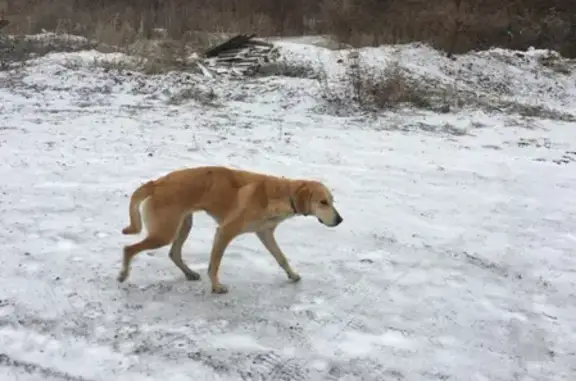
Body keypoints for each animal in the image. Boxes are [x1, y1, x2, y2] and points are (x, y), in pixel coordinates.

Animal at [117, 165, 342, 292]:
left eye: (332, 201)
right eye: (323, 202)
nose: (340, 220)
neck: (279, 194)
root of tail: (156, 183)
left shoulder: (265, 233)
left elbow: (281, 258)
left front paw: (292, 275)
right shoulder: (225, 232)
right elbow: (214, 265)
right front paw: (216, 287)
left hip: (183, 225)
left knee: (174, 253)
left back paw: (189, 273)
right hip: (164, 233)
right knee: (129, 249)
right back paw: (123, 275)